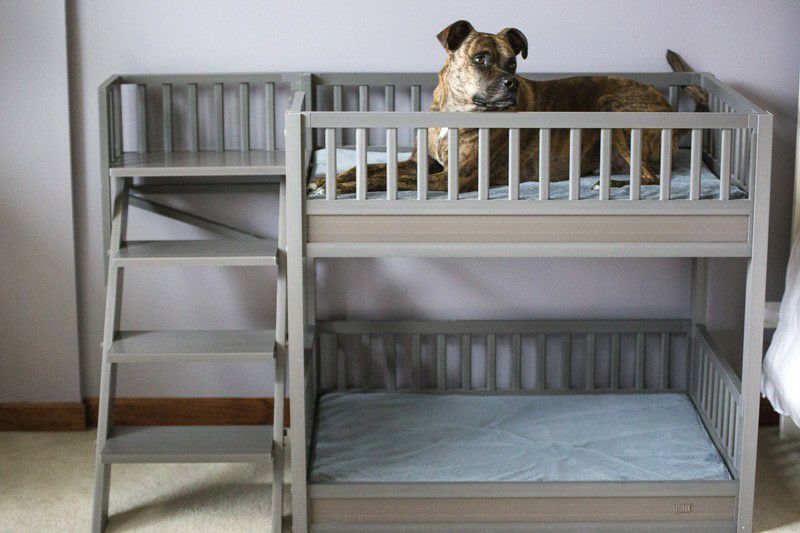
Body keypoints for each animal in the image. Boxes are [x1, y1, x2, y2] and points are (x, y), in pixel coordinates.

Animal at [314, 20, 680, 195]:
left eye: (513, 63)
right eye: (481, 59)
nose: (512, 83)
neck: (456, 112)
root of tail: (671, 109)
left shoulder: (454, 177)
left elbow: (388, 180)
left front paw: (343, 187)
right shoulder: (424, 165)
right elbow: (374, 168)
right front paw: (329, 179)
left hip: (612, 108)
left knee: (650, 177)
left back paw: (610, 185)